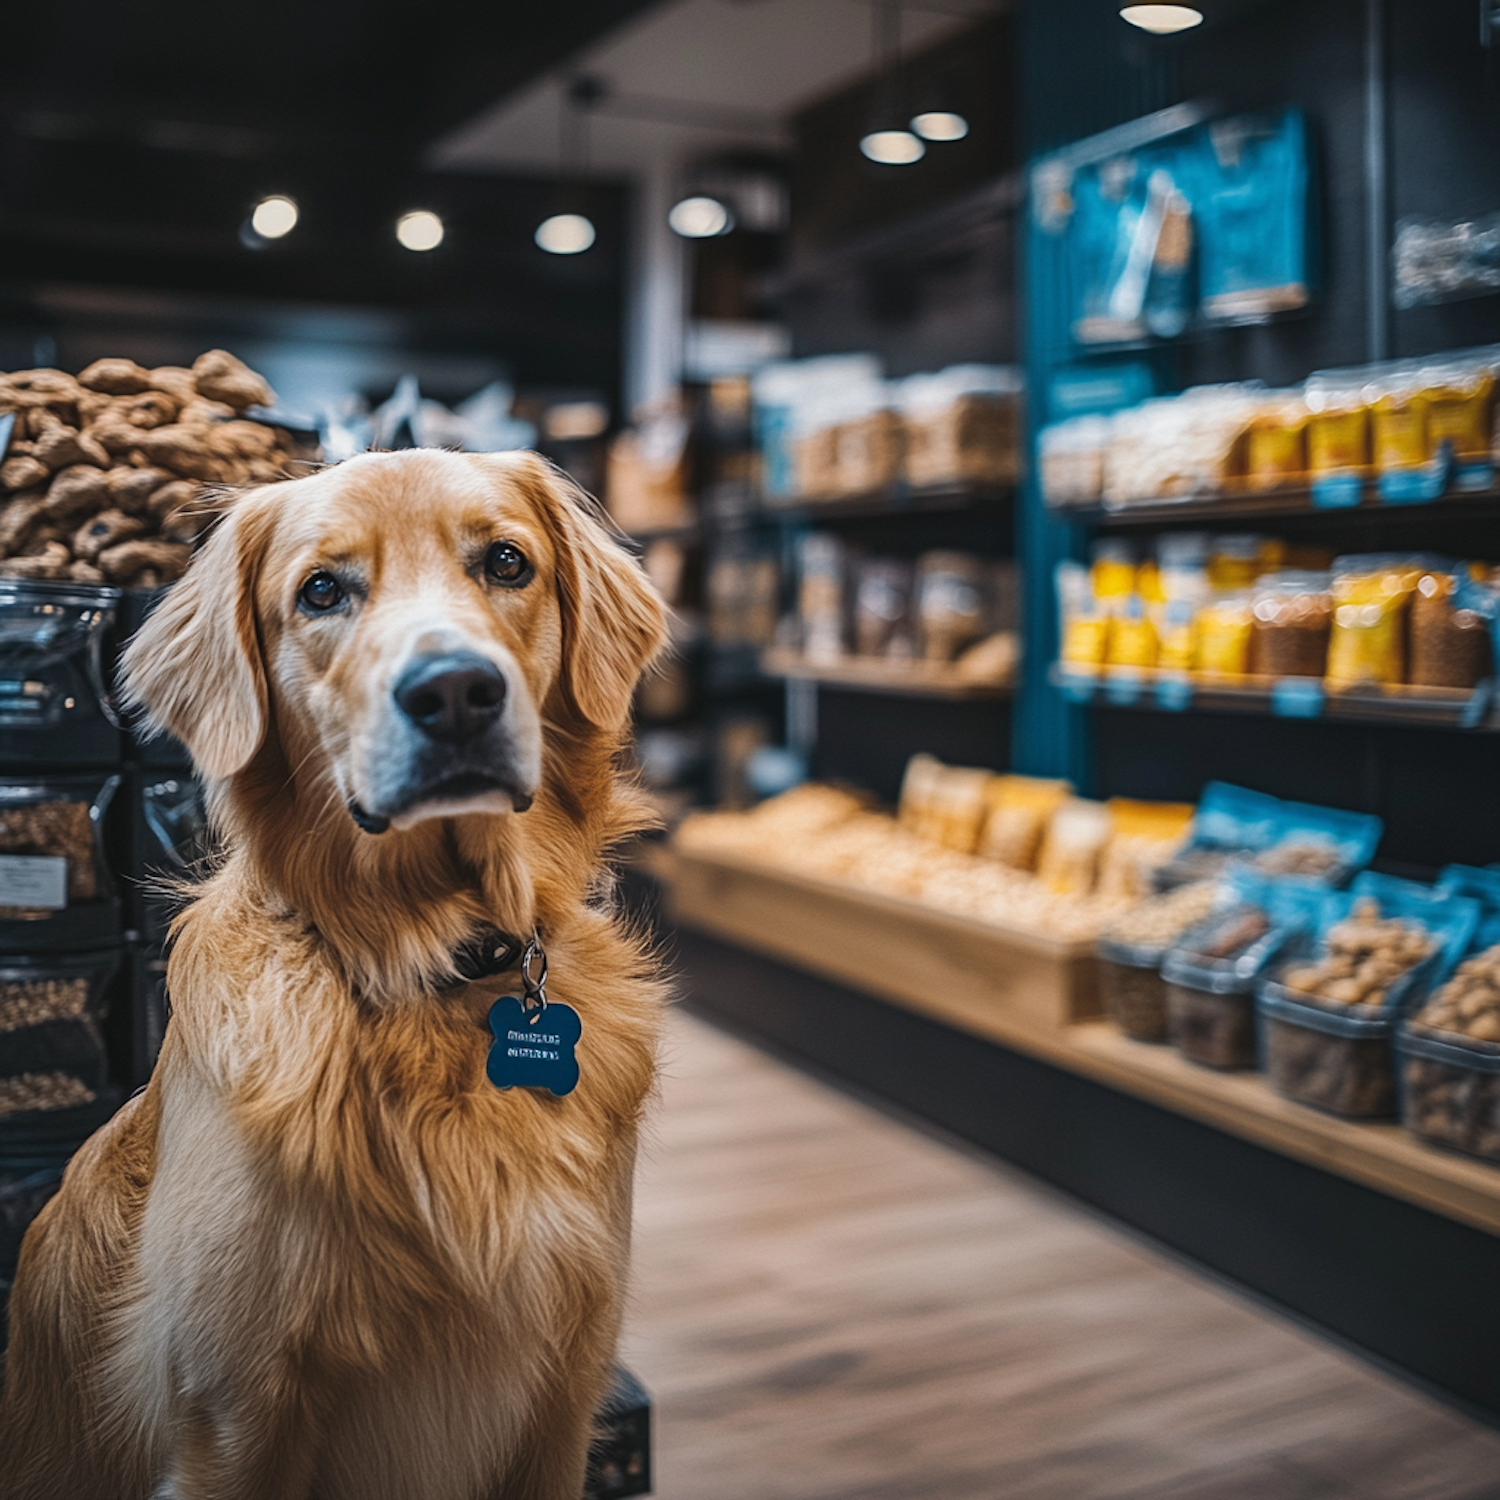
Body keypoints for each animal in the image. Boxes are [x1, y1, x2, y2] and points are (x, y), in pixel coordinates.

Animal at [0, 447, 669, 1500]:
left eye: (507, 563)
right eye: (322, 591)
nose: (455, 693)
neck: (436, 968)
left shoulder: (565, 1394)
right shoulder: (236, 1415)